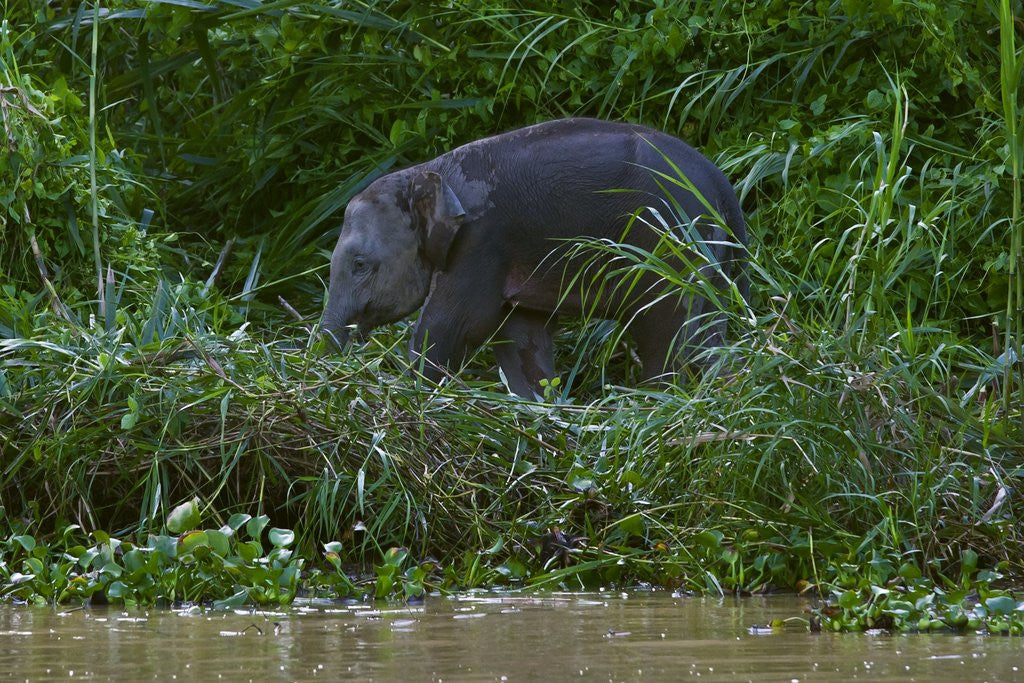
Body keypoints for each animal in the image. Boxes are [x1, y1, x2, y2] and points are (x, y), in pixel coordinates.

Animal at [323, 117, 748, 397]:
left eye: (359, 265)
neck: (426, 172)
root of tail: (722, 184)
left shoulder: (480, 240)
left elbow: (456, 324)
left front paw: (418, 391)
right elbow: (520, 334)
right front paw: (539, 405)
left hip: (672, 244)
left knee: (668, 328)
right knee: (702, 331)